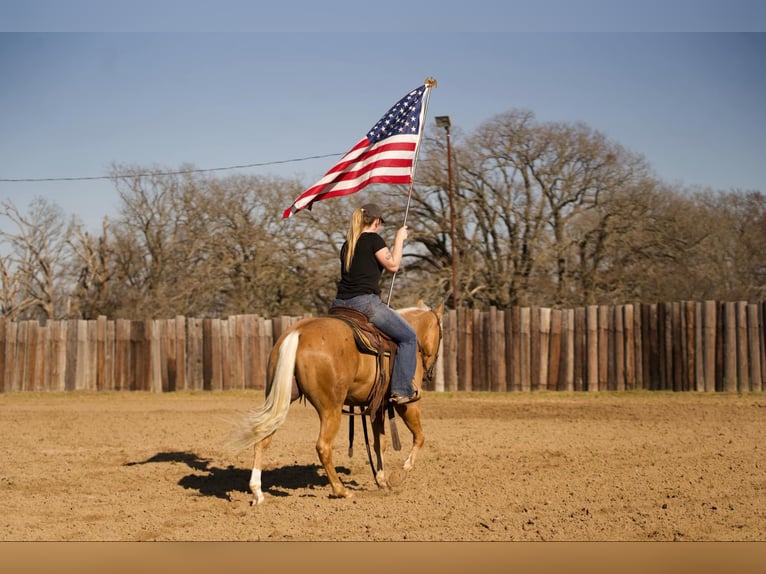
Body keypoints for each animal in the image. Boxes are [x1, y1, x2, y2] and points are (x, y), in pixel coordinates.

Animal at [231, 304, 444, 506]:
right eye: (441, 334)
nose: (429, 372)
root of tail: (298, 332)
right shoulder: (408, 404)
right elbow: (420, 437)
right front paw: (403, 469)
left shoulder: (377, 408)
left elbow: (379, 444)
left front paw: (382, 481)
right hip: (330, 409)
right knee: (323, 447)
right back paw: (341, 490)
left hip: (280, 399)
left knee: (263, 438)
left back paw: (257, 493)